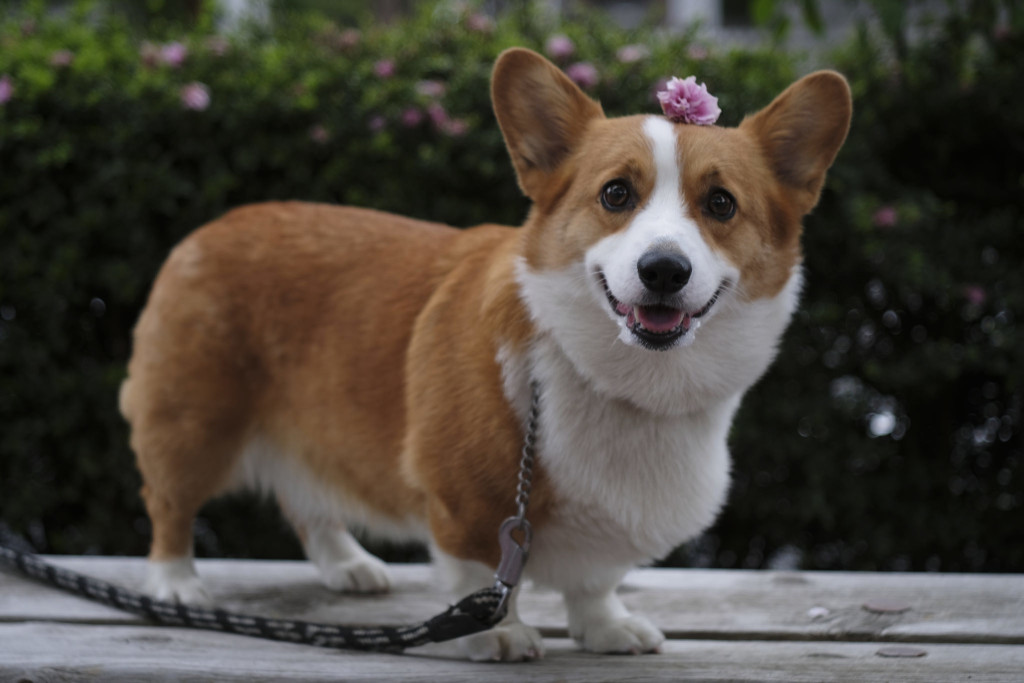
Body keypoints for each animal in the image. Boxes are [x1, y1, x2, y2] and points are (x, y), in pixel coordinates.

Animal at [119, 49, 851, 663]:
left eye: (721, 203)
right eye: (616, 193)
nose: (664, 270)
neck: (628, 382)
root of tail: (211, 227)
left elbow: (597, 581)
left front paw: (605, 626)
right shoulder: (465, 503)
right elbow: (482, 571)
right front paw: (496, 633)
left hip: (311, 421)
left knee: (310, 498)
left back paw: (346, 564)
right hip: (193, 424)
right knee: (168, 504)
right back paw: (177, 583)